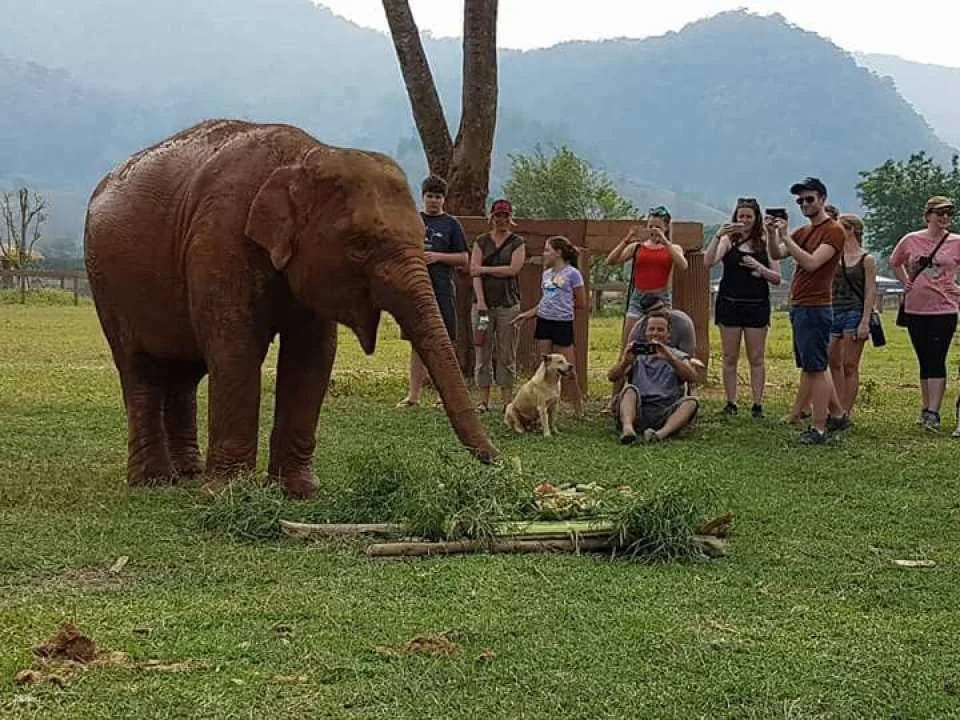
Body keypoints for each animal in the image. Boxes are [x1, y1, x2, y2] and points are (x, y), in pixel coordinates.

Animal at [84, 119, 497, 498]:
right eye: (359, 244)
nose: (495, 461)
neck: (304, 157)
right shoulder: (218, 237)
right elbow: (235, 349)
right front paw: (230, 494)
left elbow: (313, 354)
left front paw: (299, 491)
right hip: (108, 284)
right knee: (140, 369)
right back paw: (154, 482)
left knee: (187, 372)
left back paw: (189, 472)